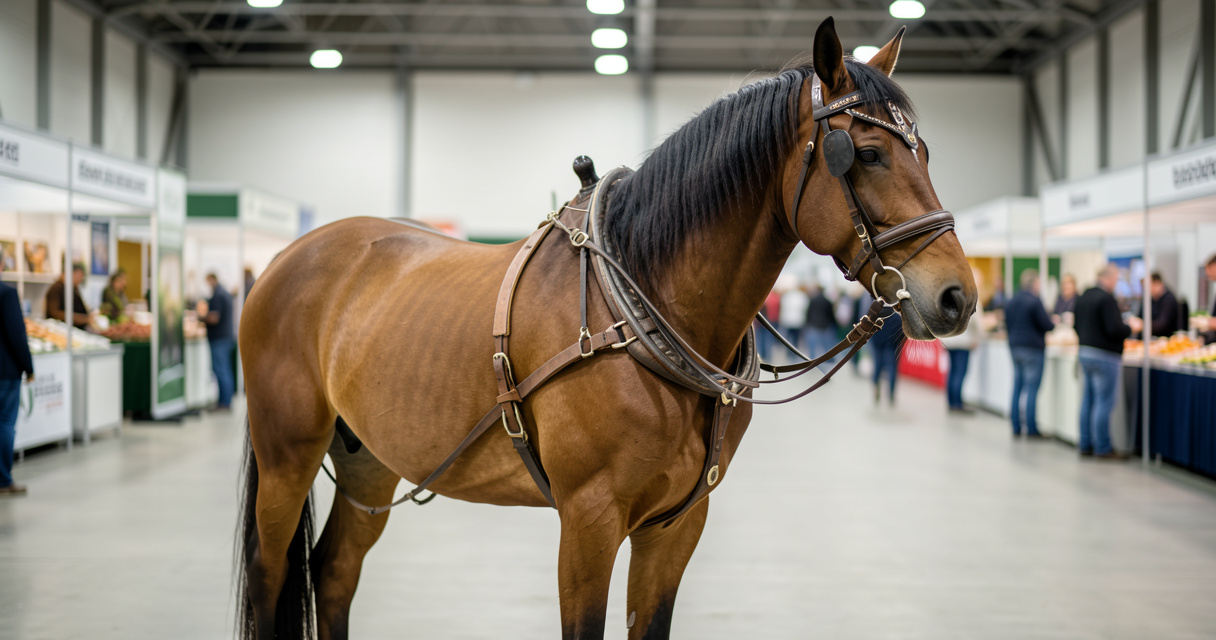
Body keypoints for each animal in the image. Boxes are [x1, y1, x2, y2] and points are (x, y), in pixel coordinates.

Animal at [235, 18, 978, 640]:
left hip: (369, 459)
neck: (643, 307)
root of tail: (285, 260)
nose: (958, 296)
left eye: (926, 150)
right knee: (274, 573)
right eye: (867, 154)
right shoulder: (588, 522)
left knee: (334, 572)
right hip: (287, 454)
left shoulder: (676, 523)